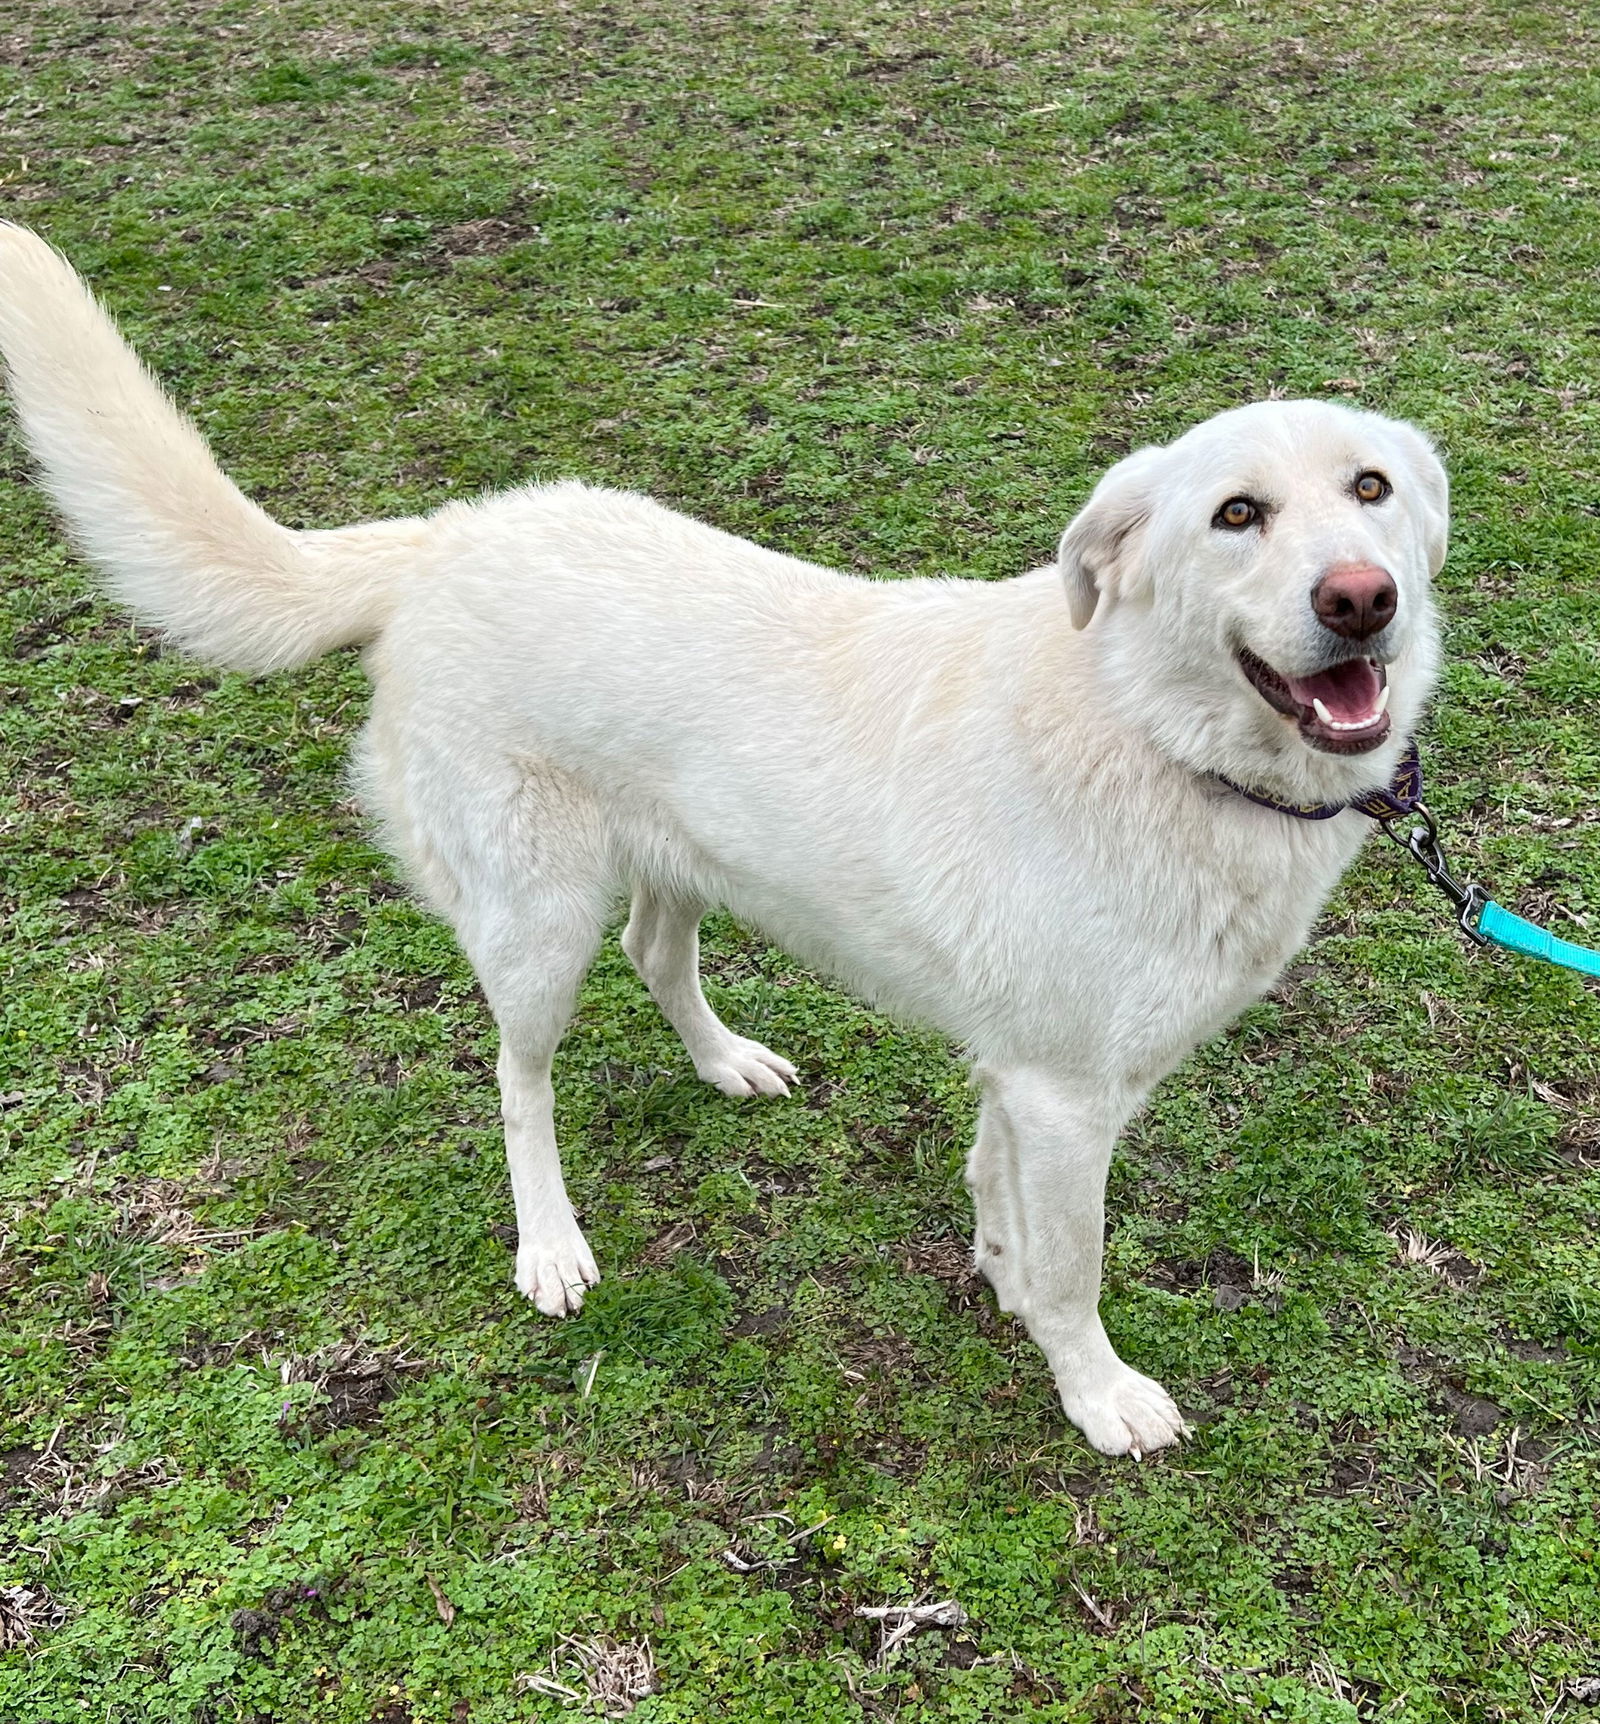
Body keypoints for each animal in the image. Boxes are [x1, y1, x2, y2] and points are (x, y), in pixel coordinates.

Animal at [3, 218, 1448, 1455]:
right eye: (1236, 515)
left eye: (1370, 488)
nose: (1361, 599)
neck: (1153, 731)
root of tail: (448, 537)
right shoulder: (1065, 1094)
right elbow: (1071, 1265)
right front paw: (1094, 1388)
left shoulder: (1023, 1074)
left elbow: (997, 1200)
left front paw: (999, 1282)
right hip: (536, 921)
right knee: (517, 1077)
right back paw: (550, 1244)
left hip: (684, 858)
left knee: (656, 953)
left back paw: (726, 1063)